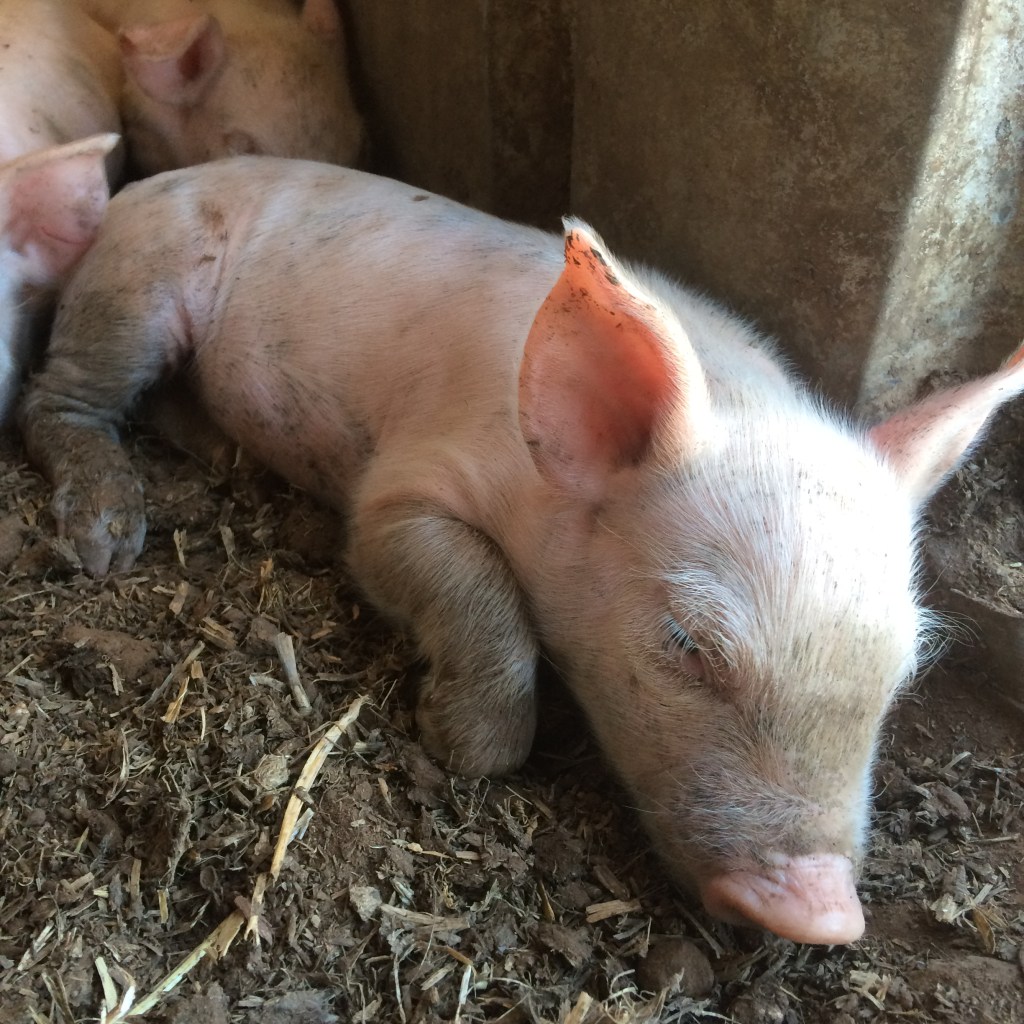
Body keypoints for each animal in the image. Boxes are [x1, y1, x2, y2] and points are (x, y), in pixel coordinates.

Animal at [20, 158, 1024, 945]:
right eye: (688, 645)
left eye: (902, 674)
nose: (822, 912)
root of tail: (143, 184)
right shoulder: (398, 492)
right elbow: (467, 590)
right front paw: (461, 745)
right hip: (135, 287)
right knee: (55, 398)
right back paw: (106, 541)